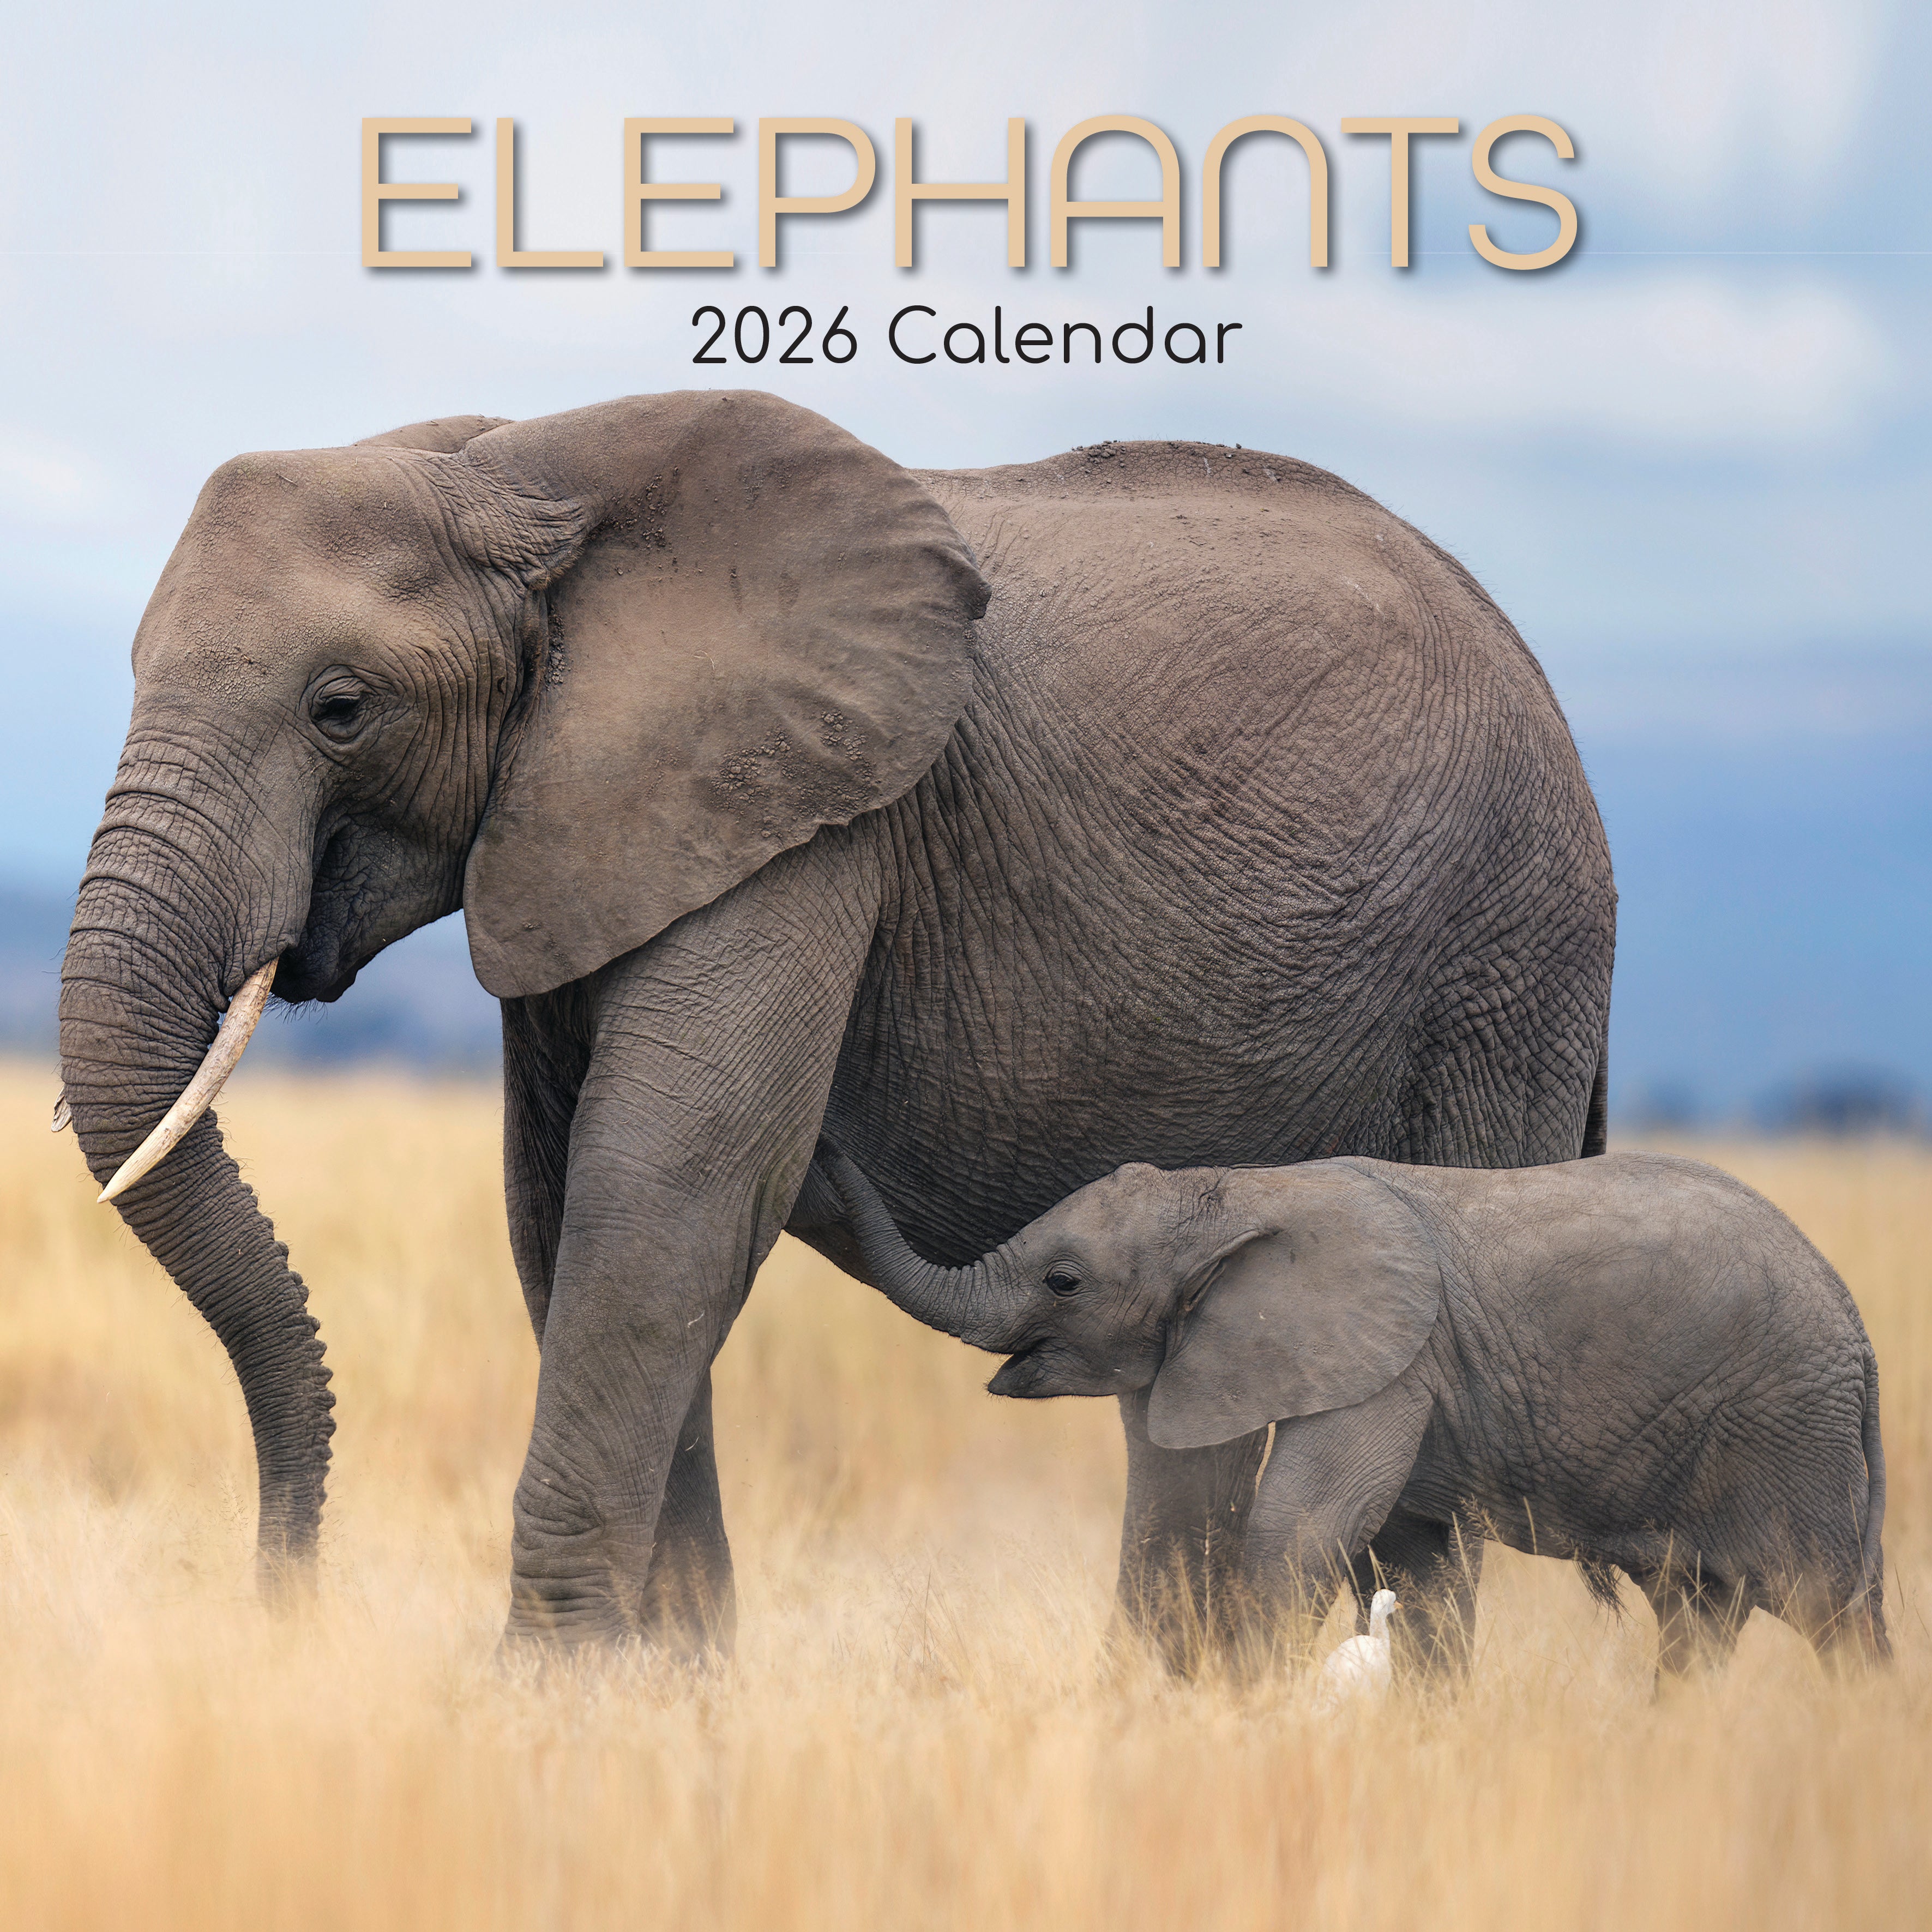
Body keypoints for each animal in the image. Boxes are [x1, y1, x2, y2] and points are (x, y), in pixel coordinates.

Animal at [58, 390, 1615, 1655]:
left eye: (342, 707)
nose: (286, 1602)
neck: (519, 467)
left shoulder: (811, 819)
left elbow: (666, 1192)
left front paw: (546, 1704)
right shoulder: (590, 817)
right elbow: (564, 1210)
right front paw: (664, 1701)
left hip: (1504, 965)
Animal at [818, 1145, 1890, 1677]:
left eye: (1064, 1280)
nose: (824, 1151)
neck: (1232, 1190)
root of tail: (1858, 1331)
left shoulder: (1389, 1364)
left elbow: (1297, 1528)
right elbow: (1404, 1561)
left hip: (1788, 1428)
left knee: (1827, 1608)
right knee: (1699, 1620)